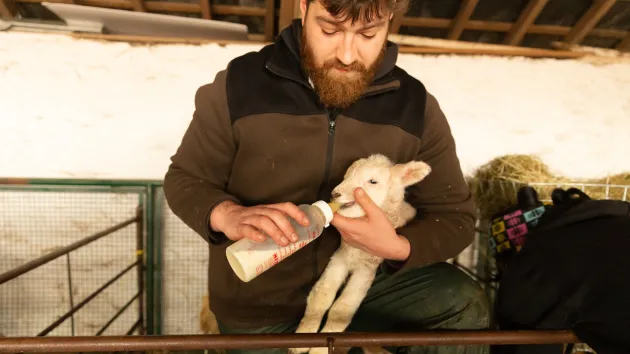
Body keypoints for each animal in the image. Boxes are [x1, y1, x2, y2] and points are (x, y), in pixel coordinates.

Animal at [292, 153, 434, 354]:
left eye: (373, 181)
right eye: (349, 174)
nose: (335, 193)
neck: (356, 253)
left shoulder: (367, 268)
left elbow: (341, 310)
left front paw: (321, 349)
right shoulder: (340, 257)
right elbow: (321, 295)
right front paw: (303, 339)